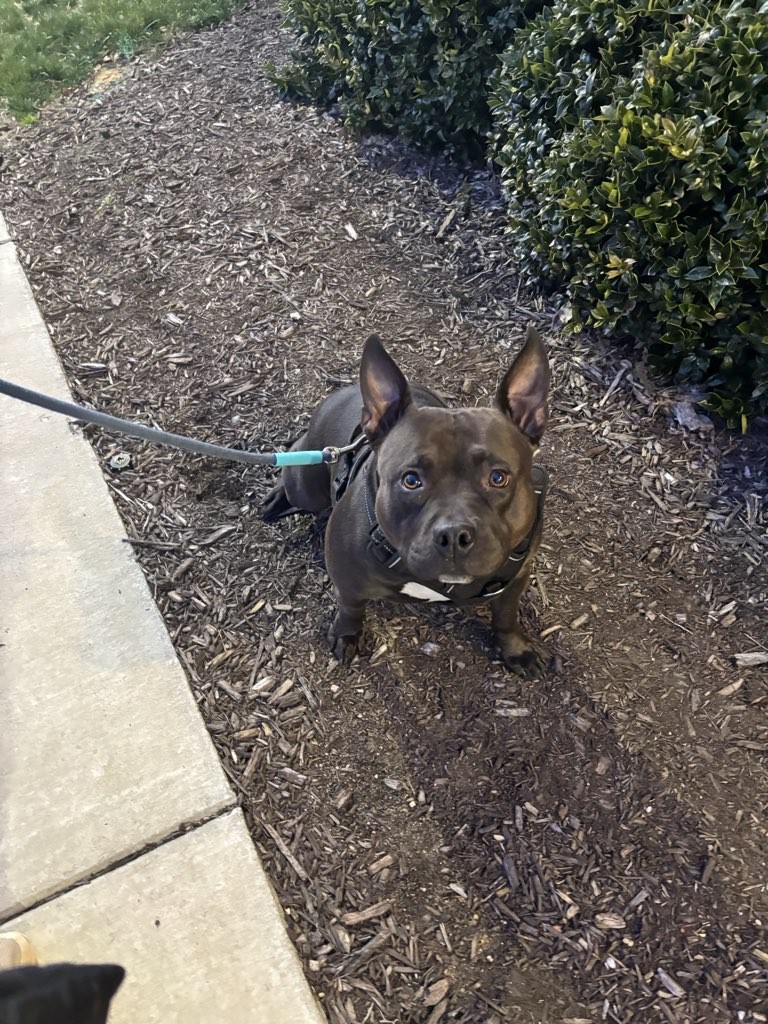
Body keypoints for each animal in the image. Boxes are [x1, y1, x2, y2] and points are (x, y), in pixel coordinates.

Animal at [261, 326, 551, 677]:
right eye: (411, 480)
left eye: (498, 478)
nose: (454, 534)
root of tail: (344, 392)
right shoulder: (347, 578)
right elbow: (350, 607)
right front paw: (347, 634)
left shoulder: (517, 576)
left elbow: (507, 615)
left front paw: (516, 650)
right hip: (307, 484)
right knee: (296, 457)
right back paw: (278, 495)